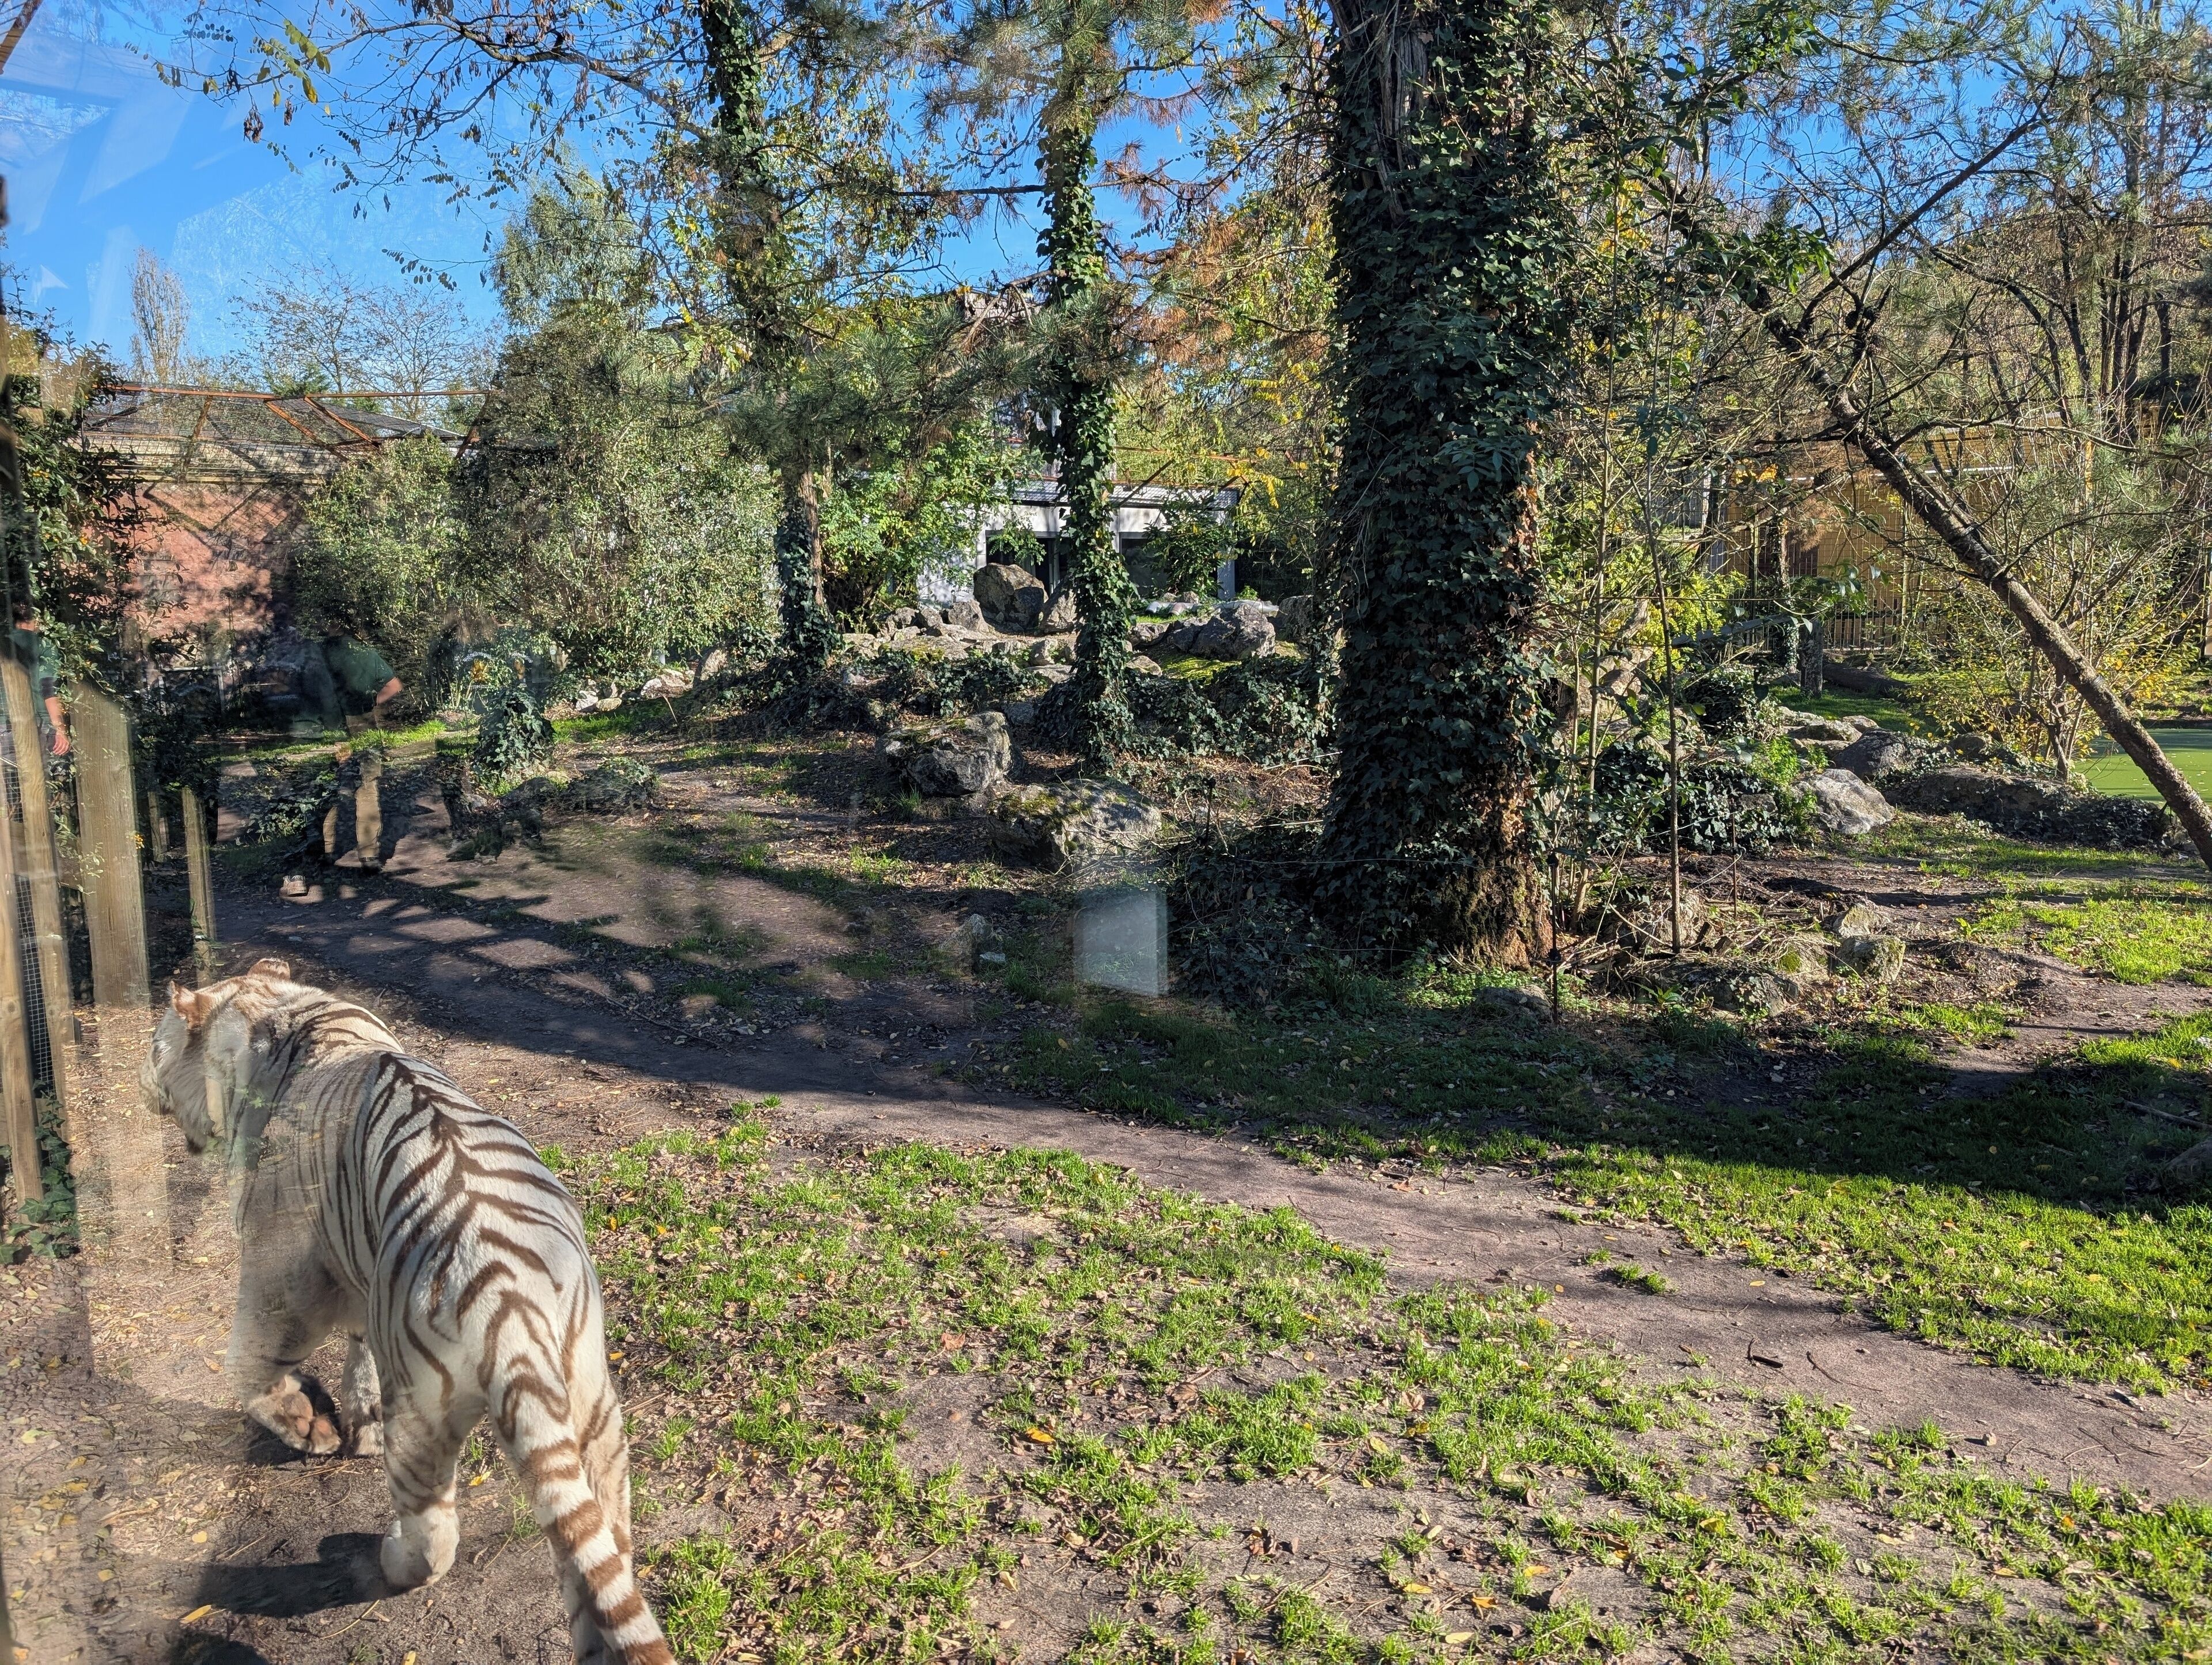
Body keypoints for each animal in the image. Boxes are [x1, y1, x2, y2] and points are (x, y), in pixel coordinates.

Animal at [141, 958, 672, 1665]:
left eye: (155, 1043)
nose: (143, 1082)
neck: (272, 1007)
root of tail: (509, 1305)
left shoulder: (284, 1270)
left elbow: (249, 1365)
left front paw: (315, 1429)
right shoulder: (362, 1272)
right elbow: (357, 1350)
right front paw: (353, 1424)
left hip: (424, 1415)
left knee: (434, 1534)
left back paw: (385, 1556)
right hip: (594, 1407)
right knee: (598, 1550)